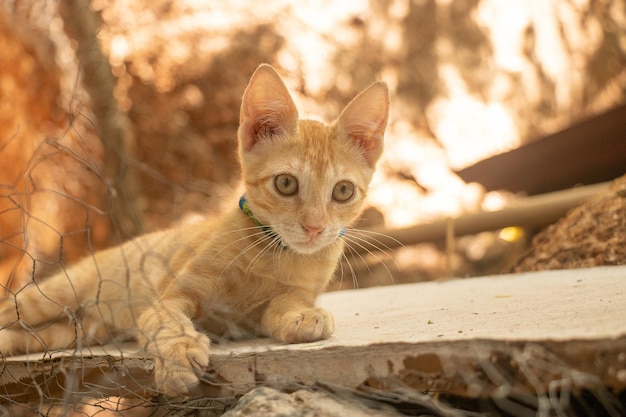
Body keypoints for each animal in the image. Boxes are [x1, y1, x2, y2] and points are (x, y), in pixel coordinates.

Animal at [0, 63, 388, 394]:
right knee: (11, 310)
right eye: (286, 184)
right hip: (53, 296)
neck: (272, 255)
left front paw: (303, 316)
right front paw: (179, 357)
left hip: (71, 332)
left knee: (28, 335)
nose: (314, 227)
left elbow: (284, 303)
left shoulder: (285, 298)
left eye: (343, 191)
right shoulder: (167, 299)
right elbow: (166, 323)